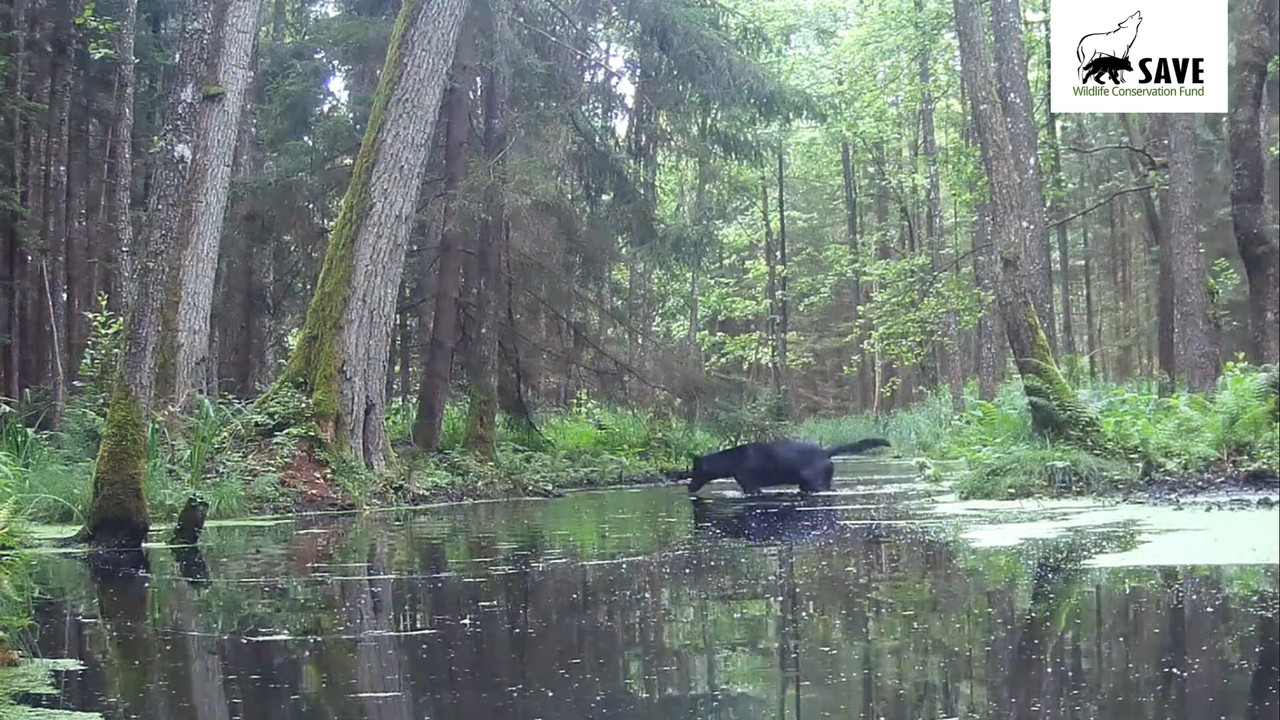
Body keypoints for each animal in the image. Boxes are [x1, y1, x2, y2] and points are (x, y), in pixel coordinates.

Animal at [680, 435, 890, 497]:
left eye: (696, 470)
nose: (689, 487)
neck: (732, 461)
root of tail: (826, 452)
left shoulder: (751, 486)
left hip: (816, 484)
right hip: (806, 485)